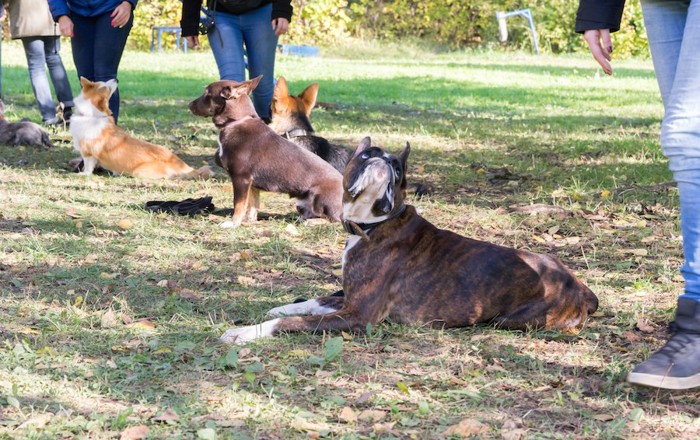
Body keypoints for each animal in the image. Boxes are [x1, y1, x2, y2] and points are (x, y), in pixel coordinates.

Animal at [187, 76, 344, 227]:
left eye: (206, 93)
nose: (189, 105)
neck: (235, 121)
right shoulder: (251, 184)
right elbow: (253, 204)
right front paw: (250, 222)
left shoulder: (241, 179)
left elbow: (239, 204)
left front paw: (234, 223)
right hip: (302, 202)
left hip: (318, 199)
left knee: (336, 220)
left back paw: (312, 222)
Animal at [221, 138, 600, 344]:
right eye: (366, 154)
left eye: (399, 168)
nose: (383, 161)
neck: (374, 224)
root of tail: (579, 286)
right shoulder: (349, 298)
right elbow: (313, 300)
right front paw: (282, 305)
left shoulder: (359, 315)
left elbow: (291, 323)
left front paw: (245, 332)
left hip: (509, 319)